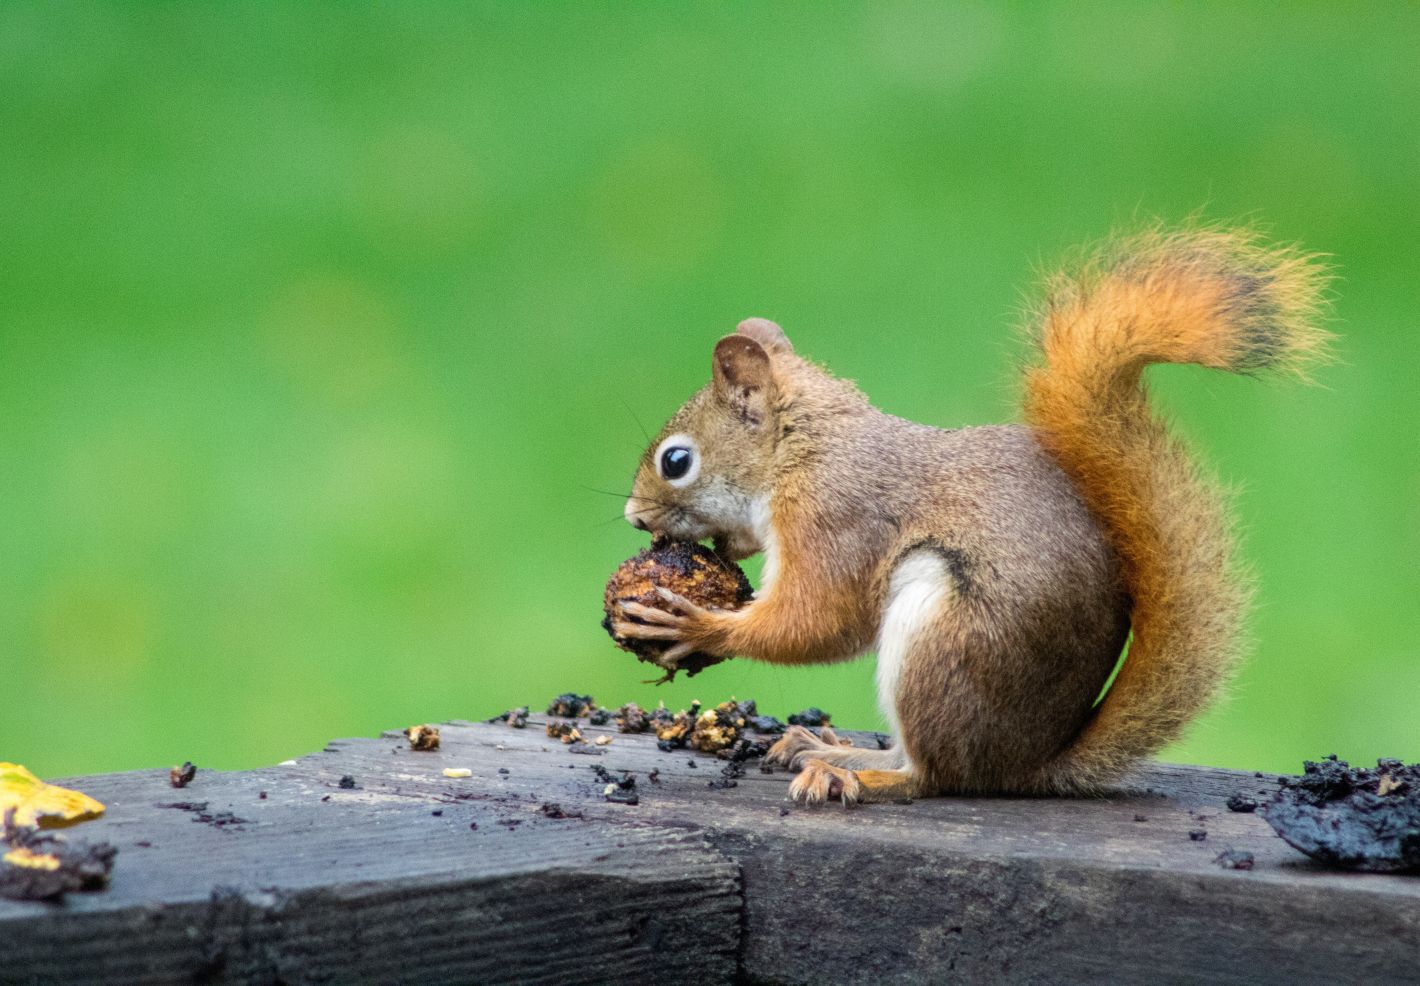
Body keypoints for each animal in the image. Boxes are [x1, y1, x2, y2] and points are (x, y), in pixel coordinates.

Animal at [613, 227, 1329, 806]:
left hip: (942, 638)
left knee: (933, 776)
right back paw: (826, 747)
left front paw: (697, 624)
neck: (805, 450)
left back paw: (857, 774)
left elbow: (820, 620)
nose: (633, 517)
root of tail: (1026, 765)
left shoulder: (836, 518)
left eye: (676, 461)